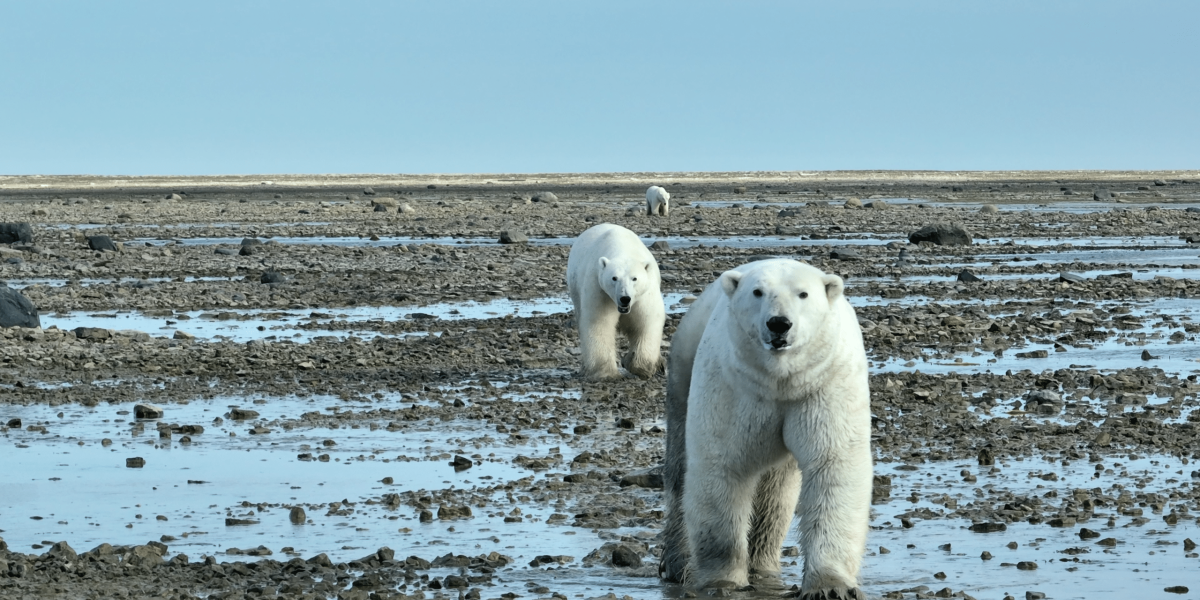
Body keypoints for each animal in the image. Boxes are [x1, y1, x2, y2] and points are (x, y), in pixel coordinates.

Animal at [566, 223, 666, 380]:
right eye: (614, 278)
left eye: (634, 278)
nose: (625, 298)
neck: (622, 248)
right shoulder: (600, 290)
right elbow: (600, 323)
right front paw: (606, 373)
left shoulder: (645, 294)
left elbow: (647, 321)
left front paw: (640, 367)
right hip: (576, 290)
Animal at [661, 259, 872, 599]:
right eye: (757, 292)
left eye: (803, 293)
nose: (779, 324)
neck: (780, 380)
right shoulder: (734, 388)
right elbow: (722, 466)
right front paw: (723, 582)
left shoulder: (822, 386)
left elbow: (832, 464)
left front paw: (830, 586)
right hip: (683, 370)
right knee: (680, 470)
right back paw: (679, 565)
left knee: (776, 491)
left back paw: (762, 564)